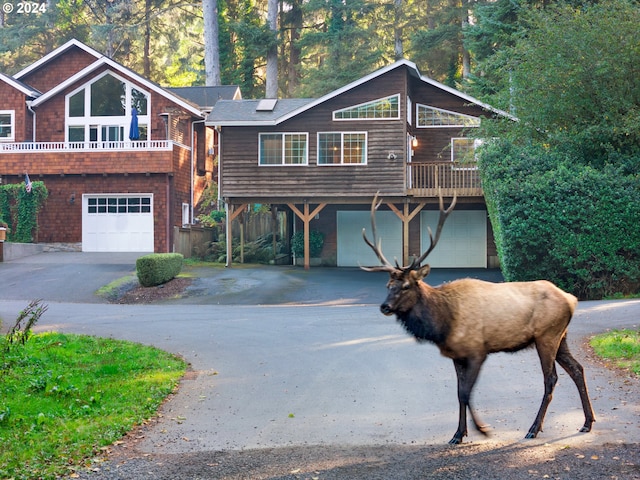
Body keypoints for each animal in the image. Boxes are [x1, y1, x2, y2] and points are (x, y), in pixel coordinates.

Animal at [360, 192, 596, 446]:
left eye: (405, 286)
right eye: (388, 285)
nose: (384, 306)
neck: (443, 323)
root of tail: (571, 299)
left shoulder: (477, 351)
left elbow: (466, 392)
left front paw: (482, 430)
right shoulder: (456, 355)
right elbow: (458, 392)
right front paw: (458, 434)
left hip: (547, 336)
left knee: (551, 378)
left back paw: (534, 428)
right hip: (561, 336)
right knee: (577, 369)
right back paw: (587, 422)